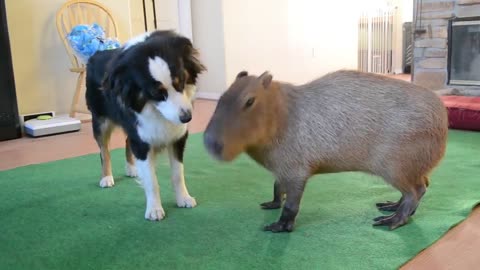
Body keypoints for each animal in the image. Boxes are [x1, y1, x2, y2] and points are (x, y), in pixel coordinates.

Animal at [85, 30, 205, 220]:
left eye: (181, 81)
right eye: (156, 92)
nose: (187, 118)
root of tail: (96, 53)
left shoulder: (177, 137)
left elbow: (178, 174)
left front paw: (183, 198)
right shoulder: (141, 138)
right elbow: (151, 180)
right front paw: (154, 209)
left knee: (127, 141)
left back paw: (131, 168)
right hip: (100, 120)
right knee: (104, 151)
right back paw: (107, 177)